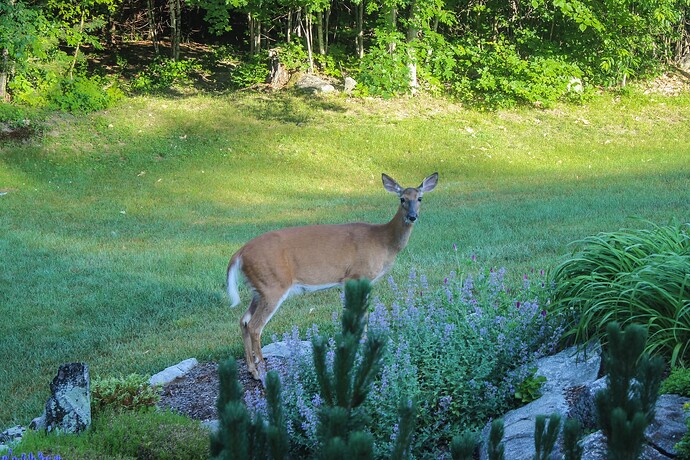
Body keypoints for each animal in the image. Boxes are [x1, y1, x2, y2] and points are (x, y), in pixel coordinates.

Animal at [226, 172, 438, 379]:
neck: (383, 241)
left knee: (243, 320)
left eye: (420, 198)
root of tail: (240, 252)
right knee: (255, 326)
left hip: (259, 288)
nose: (412, 216)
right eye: (402, 199)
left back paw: (252, 370)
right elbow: (361, 316)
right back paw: (262, 372)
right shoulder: (358, 275)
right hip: (273, 285)